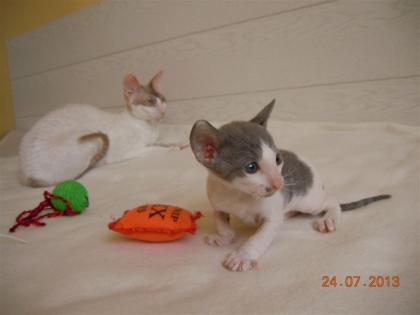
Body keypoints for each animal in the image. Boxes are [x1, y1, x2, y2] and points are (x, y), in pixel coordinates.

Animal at [19, 71, 184, 188]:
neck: (149, 126)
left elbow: (159, 143)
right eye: (150, 102)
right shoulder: (126, 152)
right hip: (93, 139)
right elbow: (154, 149)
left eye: (163, 101)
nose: (163, 112)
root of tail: (27, 173)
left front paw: (178, 143)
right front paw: (173, 148)